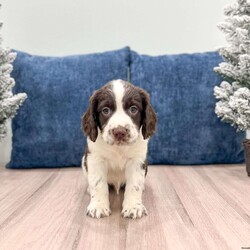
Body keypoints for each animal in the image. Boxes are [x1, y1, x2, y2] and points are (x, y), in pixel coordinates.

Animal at [82, 79, 156, 218]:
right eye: (105, 110)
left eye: (133, 109)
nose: (120, 132)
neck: (118, 149)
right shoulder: (95, 159)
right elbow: (98, 183)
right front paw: (98, 206)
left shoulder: (137, 161)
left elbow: (135, 185)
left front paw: (133, 207)